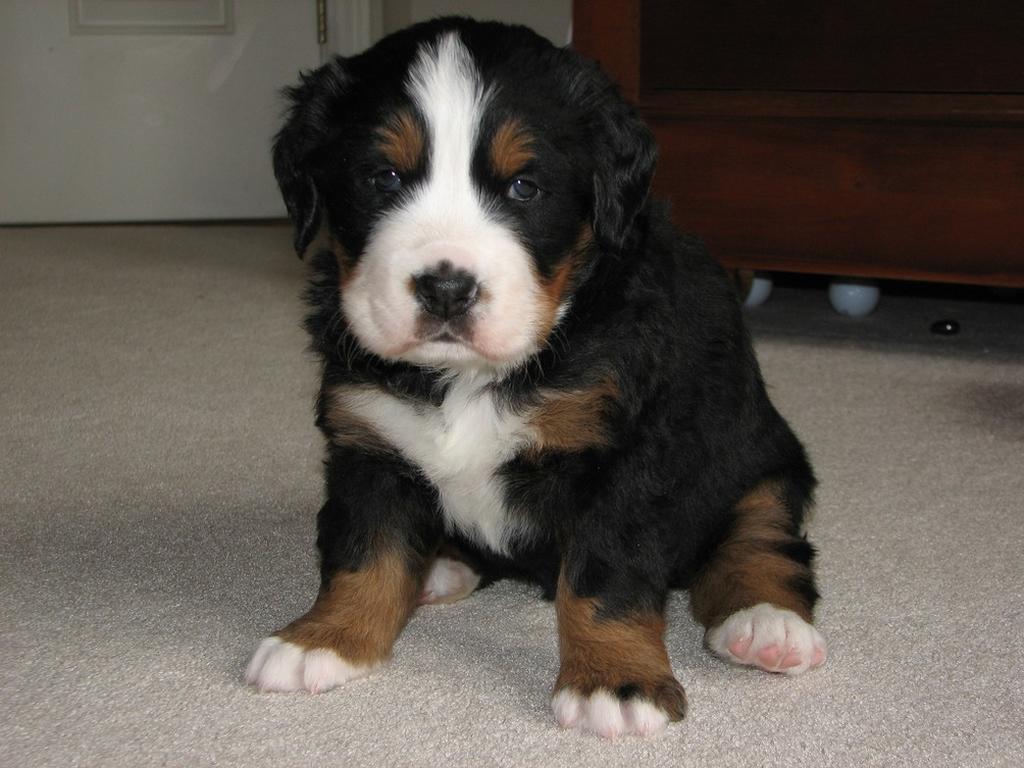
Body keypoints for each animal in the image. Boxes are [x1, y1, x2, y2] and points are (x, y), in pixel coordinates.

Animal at [243, 16, 827, 741]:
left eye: (524, 187)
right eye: (383, 177)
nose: (446, 288)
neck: (465, 376)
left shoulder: (628, 458)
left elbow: (603, 580)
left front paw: (614, 680)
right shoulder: (368, 440)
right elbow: (363, 552)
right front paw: (325, 638)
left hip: (762, 456)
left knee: (764, 539)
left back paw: (766, 624)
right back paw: (438, 566)